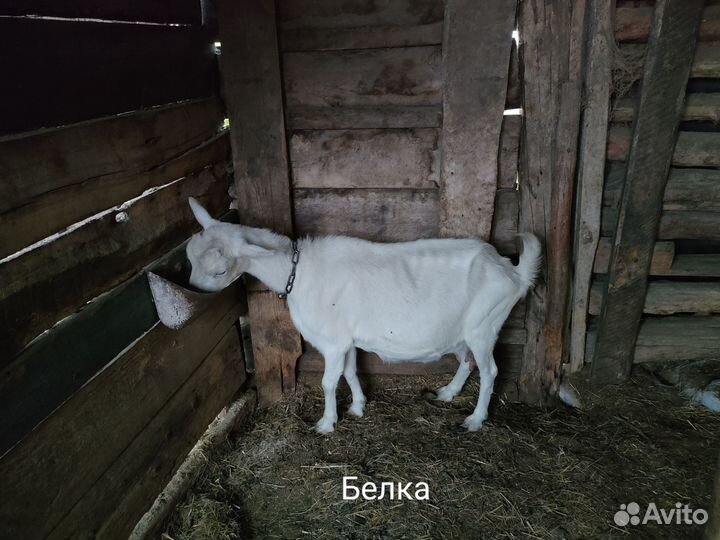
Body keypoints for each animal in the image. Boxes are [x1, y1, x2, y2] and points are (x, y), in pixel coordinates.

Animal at [186, 198, 541, 434]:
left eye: (219, 271)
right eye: (189, 259)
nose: (194, 290)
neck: (299, 273)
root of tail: (512, 271)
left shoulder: (331, 342)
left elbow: (329, 381)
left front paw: (326, 423)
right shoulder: (346, 339)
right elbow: (350, 372)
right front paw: (357, 406)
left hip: (485, 325)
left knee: (490, 370)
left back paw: (476, 419)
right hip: (465, 330)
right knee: (467, 361)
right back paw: (447, 393)